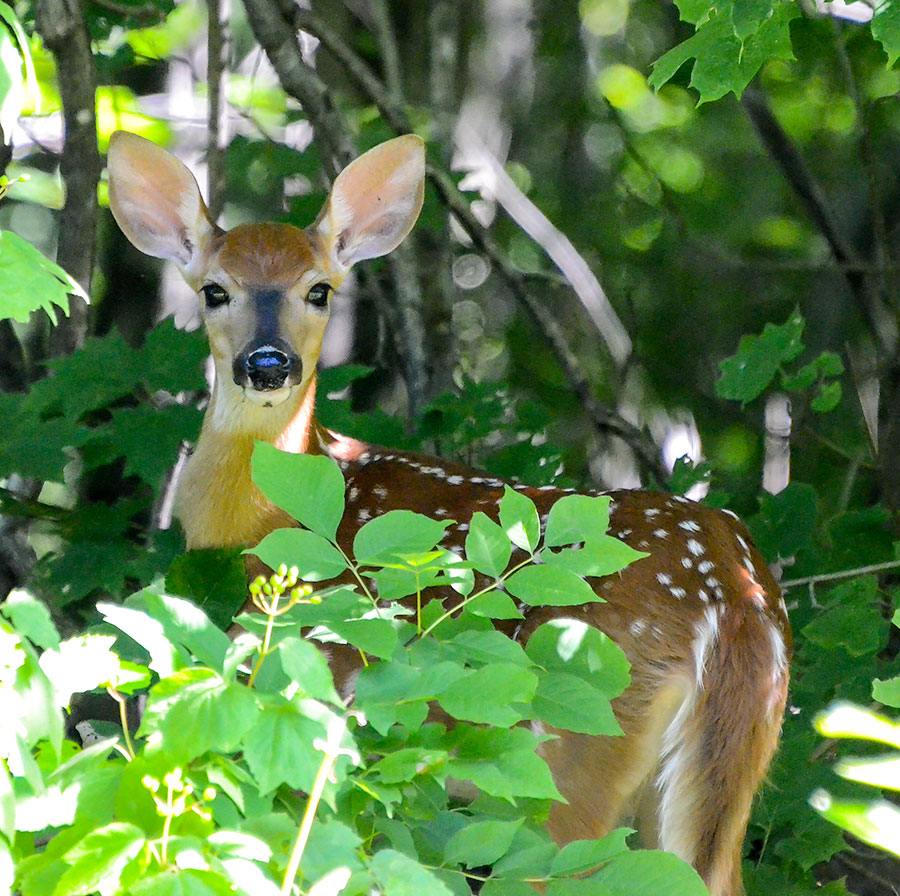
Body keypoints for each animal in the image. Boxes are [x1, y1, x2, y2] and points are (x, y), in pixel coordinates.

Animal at [107, 130, 791, 896]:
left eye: (319, 289)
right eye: (214, 290)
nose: (267, 363)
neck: (264, 523)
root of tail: (735, 601)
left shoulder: (312, 694)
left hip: (576, 746)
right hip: (724, 775)